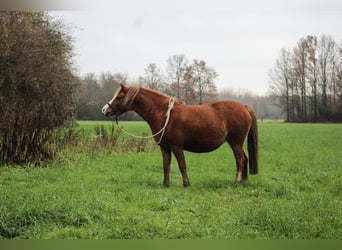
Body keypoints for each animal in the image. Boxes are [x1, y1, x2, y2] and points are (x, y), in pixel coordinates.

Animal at [103, 84, 258, 188]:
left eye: (120, 96)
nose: (104, 110)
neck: (165, 115)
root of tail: (244, 107)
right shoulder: (165, 148)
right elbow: (166, 166)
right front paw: (165, 184)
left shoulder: (176, 147)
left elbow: (182, 165)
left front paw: (186, 183)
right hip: (237, 143)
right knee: (244, 158)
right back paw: (244, 180)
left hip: (235, 142)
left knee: (240, 160)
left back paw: (237, 180)